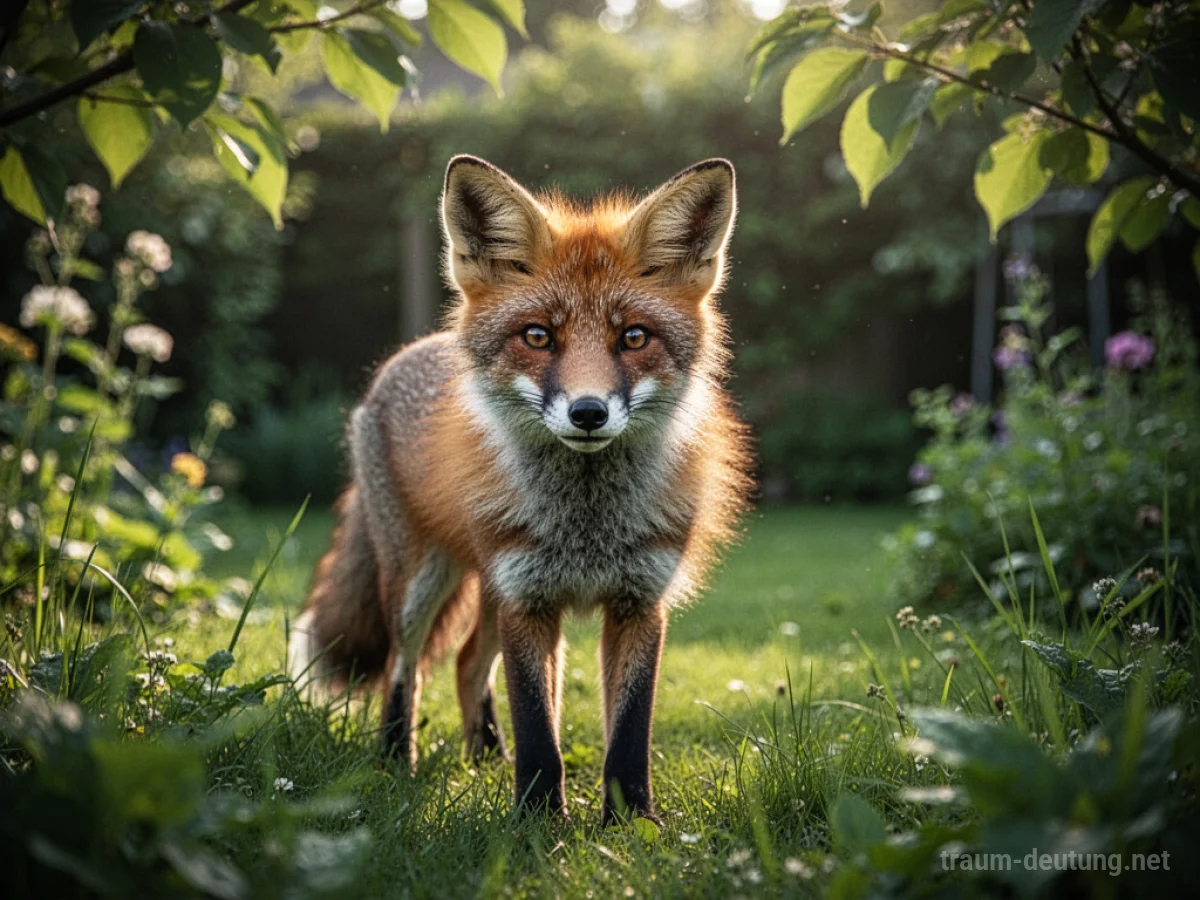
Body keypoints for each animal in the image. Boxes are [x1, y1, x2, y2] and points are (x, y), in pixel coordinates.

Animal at [289, 155, 752, 825]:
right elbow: (539, 729)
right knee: (406, 669)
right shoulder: (527, 601)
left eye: (634, 337)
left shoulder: (638, 602)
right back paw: (395, 764)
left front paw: (632, 824)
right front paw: (537, 823)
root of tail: (412, 352)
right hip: (422, 582)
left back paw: (484, 758)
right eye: (538, 337)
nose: (588, 412)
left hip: (488, 589)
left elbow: (628, 733)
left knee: (465, 664)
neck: (587, 526)